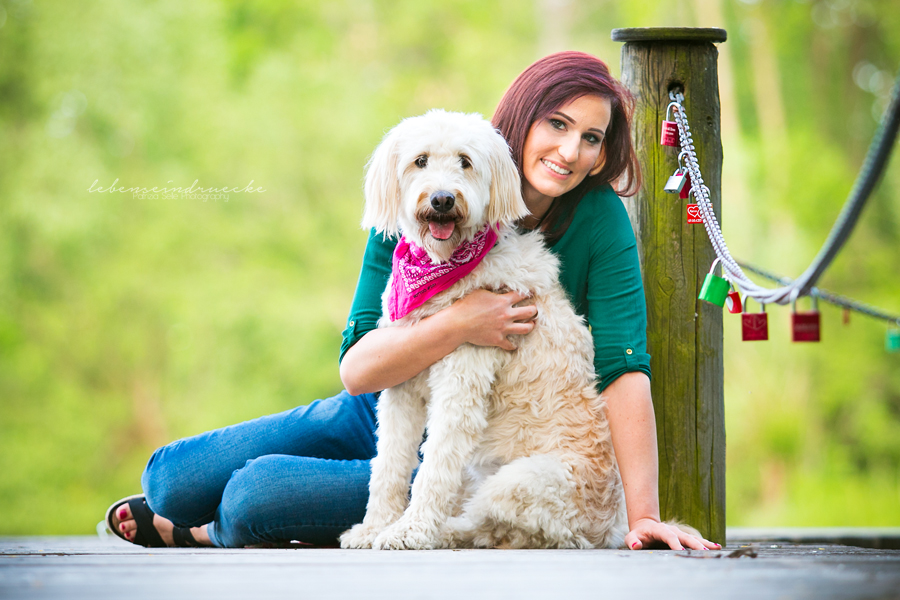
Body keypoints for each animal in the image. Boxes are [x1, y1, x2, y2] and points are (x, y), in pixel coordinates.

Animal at [338, 108, 624, 548]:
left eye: (465, 162)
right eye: (420, 160)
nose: (442, 199)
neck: (444, 266)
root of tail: (605, 529)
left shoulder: (461, 378)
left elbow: (436, 464)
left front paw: (408, 531)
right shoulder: (401, 383)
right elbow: (388, 463)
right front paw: (374, 528)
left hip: (522, 482)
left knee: (494, 527)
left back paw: (441, 532)